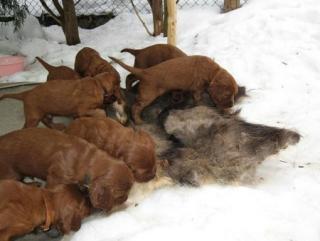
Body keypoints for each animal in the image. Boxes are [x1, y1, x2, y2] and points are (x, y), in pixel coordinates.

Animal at [109, 55, 238, 124]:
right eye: (228, 94)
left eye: (234, 94)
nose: (232, 105)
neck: (212, 71)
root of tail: (144, 72)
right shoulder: (197, 89)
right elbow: (199, 100)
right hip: (148, 95)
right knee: (135, 107)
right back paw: (138, 120)